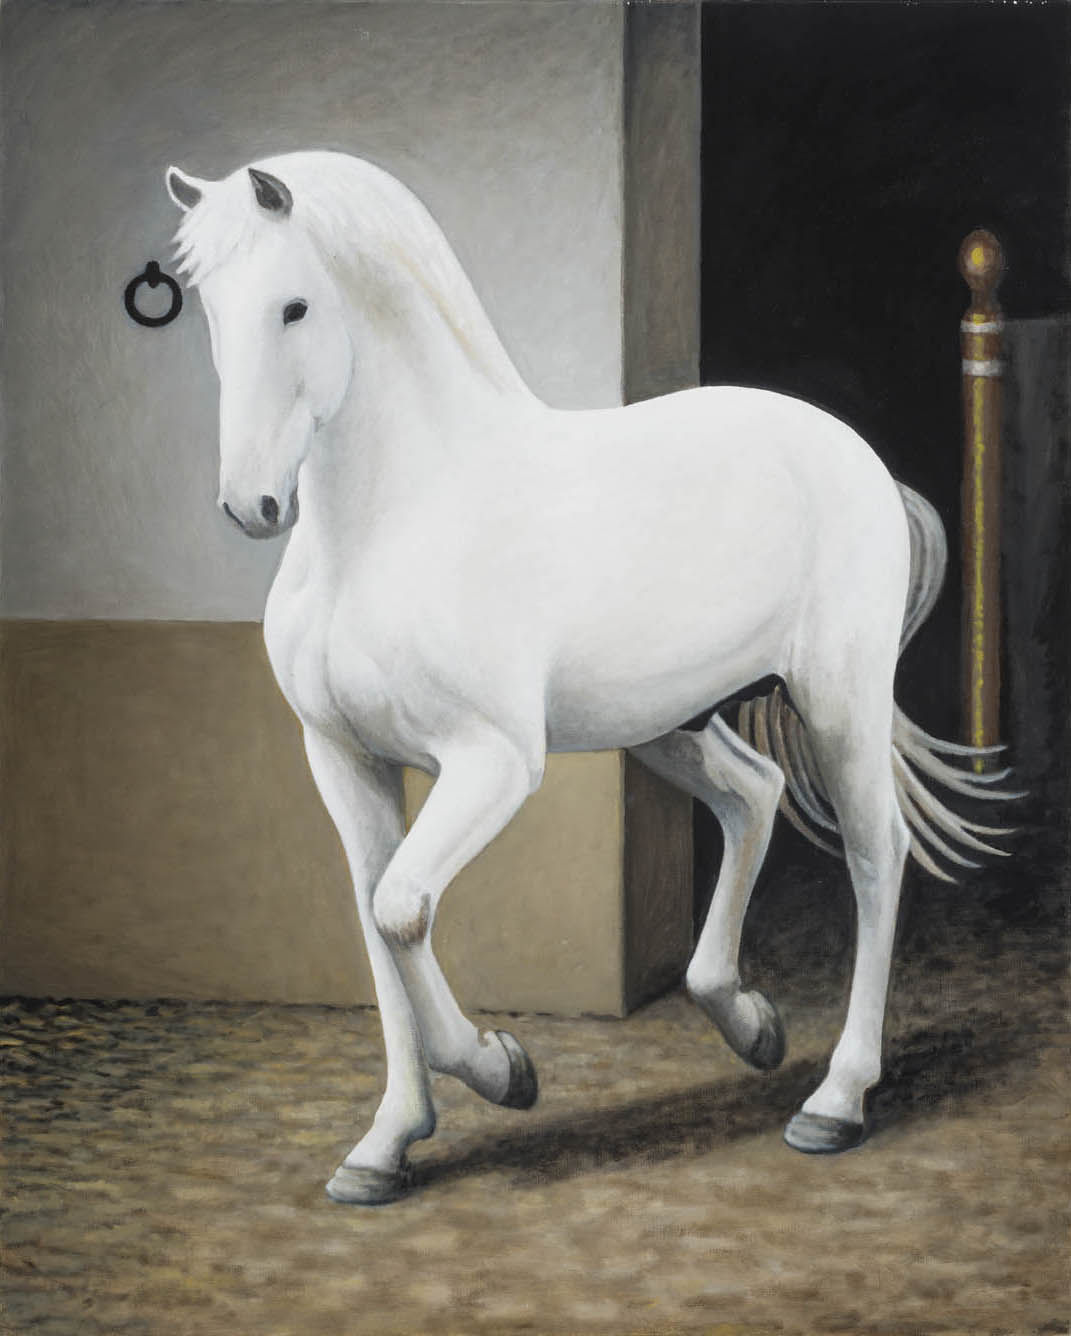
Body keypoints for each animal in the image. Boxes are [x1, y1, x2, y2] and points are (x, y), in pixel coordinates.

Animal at [165, 151, 1015, 1204]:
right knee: (754, 795)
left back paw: (835, 1100)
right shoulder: (342, 761)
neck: (393, 524)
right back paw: (747, 1023)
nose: (252, 506)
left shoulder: (492, 763)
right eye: (207, 305)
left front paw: (501, 1071)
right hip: (667, 722)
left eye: (293, 307)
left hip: (837, 700)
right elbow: (375, 926)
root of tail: (855, 454)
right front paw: (383, 1148)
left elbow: (401, 912)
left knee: (874, 852)